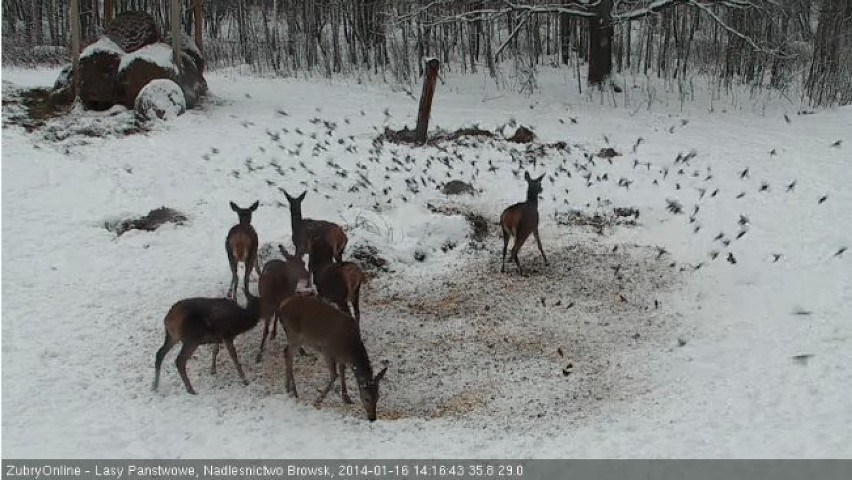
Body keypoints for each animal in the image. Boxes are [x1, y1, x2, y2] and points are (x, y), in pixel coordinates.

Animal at [278, 290, 388, 422]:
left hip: (293, 336)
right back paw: (293, 391)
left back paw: (288, 388)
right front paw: (318, 400)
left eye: (378, 397)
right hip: (295, 335)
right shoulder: (327, 351)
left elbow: (342, 372)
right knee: (288, 354)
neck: (349, 348)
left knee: (286, 352)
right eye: (366, 398)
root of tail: (281, 306)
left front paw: (346, 397)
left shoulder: (341, 357)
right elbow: (334, 375)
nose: (372, 418)